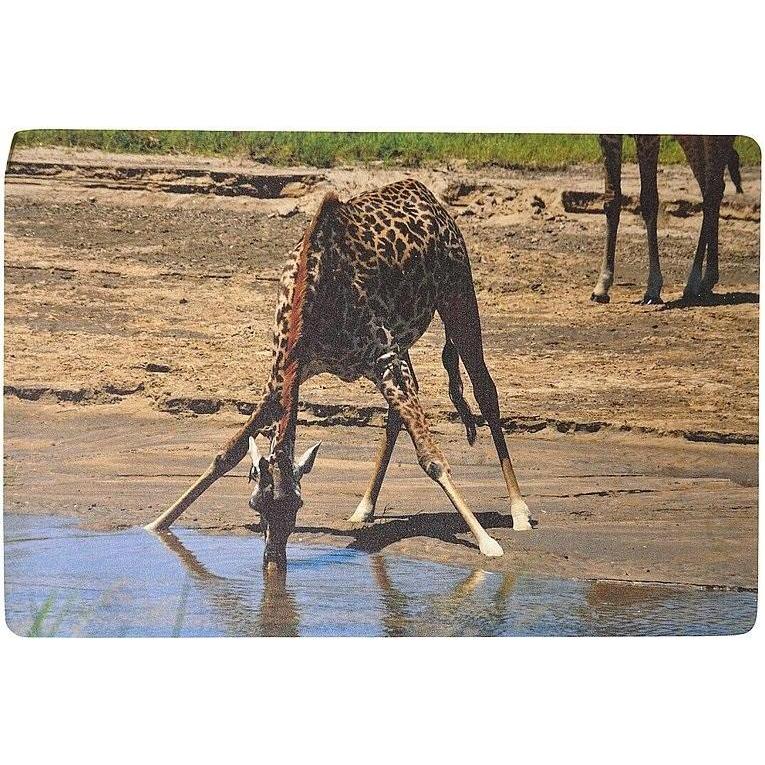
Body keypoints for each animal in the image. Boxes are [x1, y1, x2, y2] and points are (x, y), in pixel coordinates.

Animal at [145, 178, 533, 569]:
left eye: (298, 505)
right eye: (256, 505)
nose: (274, 561)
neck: (315, 293)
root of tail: (424, 192)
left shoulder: (383, 359)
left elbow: (432, 459)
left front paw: (487, 543)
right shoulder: (283, 378)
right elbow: (227, 453)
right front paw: (156, 524)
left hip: (458, 294)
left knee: (485, 390)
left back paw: (519, 511)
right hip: (405, 340)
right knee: (396, 417)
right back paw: (364, 508)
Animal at [590, 135, 736, 305]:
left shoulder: (649, 137)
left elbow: (649, 201)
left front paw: (653, 289)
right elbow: (612, 200)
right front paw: (602, 286)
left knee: (712, 190)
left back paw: (695, 282)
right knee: (713, 187)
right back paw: (705, 281)